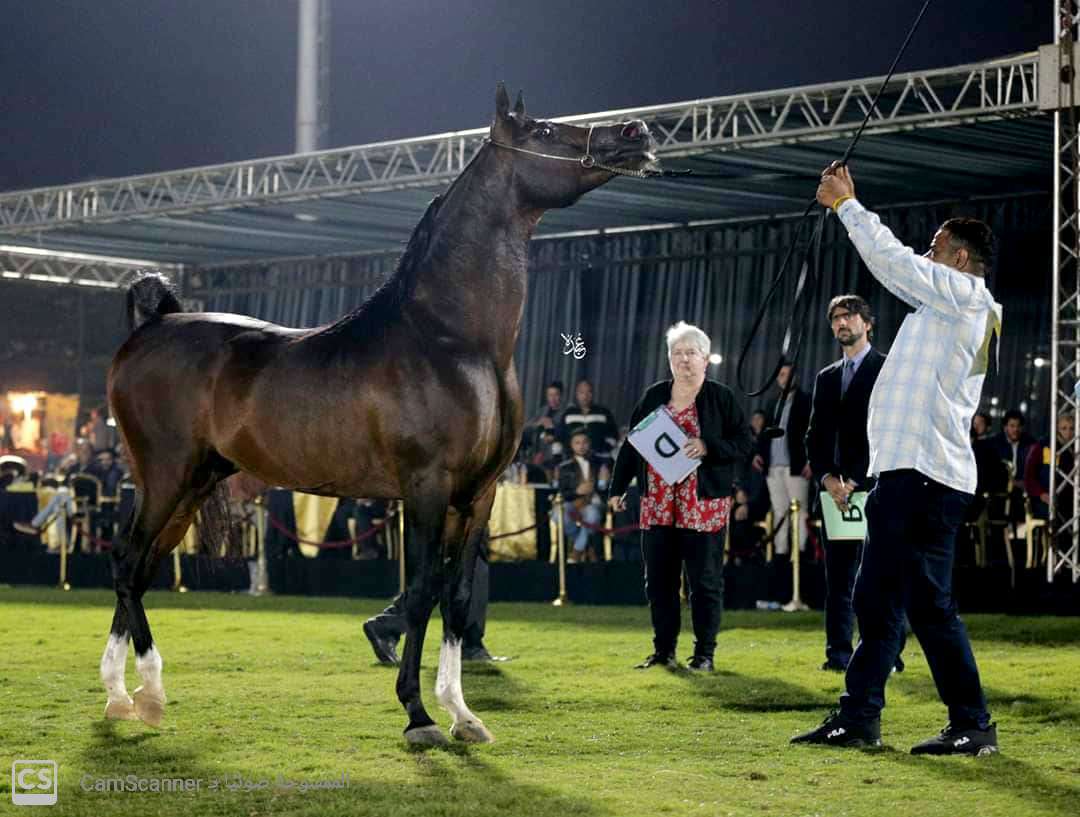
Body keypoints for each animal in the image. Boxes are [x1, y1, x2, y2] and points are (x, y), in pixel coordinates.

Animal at [103, 84, 656, 747]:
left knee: (139, 569)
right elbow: (418, 592)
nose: (636, 134)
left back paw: (120, 698)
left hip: (191, 485)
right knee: (127, 563)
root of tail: (151, 326)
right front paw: (418, 715)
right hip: (166, 476)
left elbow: (457, 596)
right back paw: (147, 696)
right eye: (544, 132)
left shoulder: (480, 494)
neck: (452, 340)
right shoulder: (425, 486)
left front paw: (463, 715)